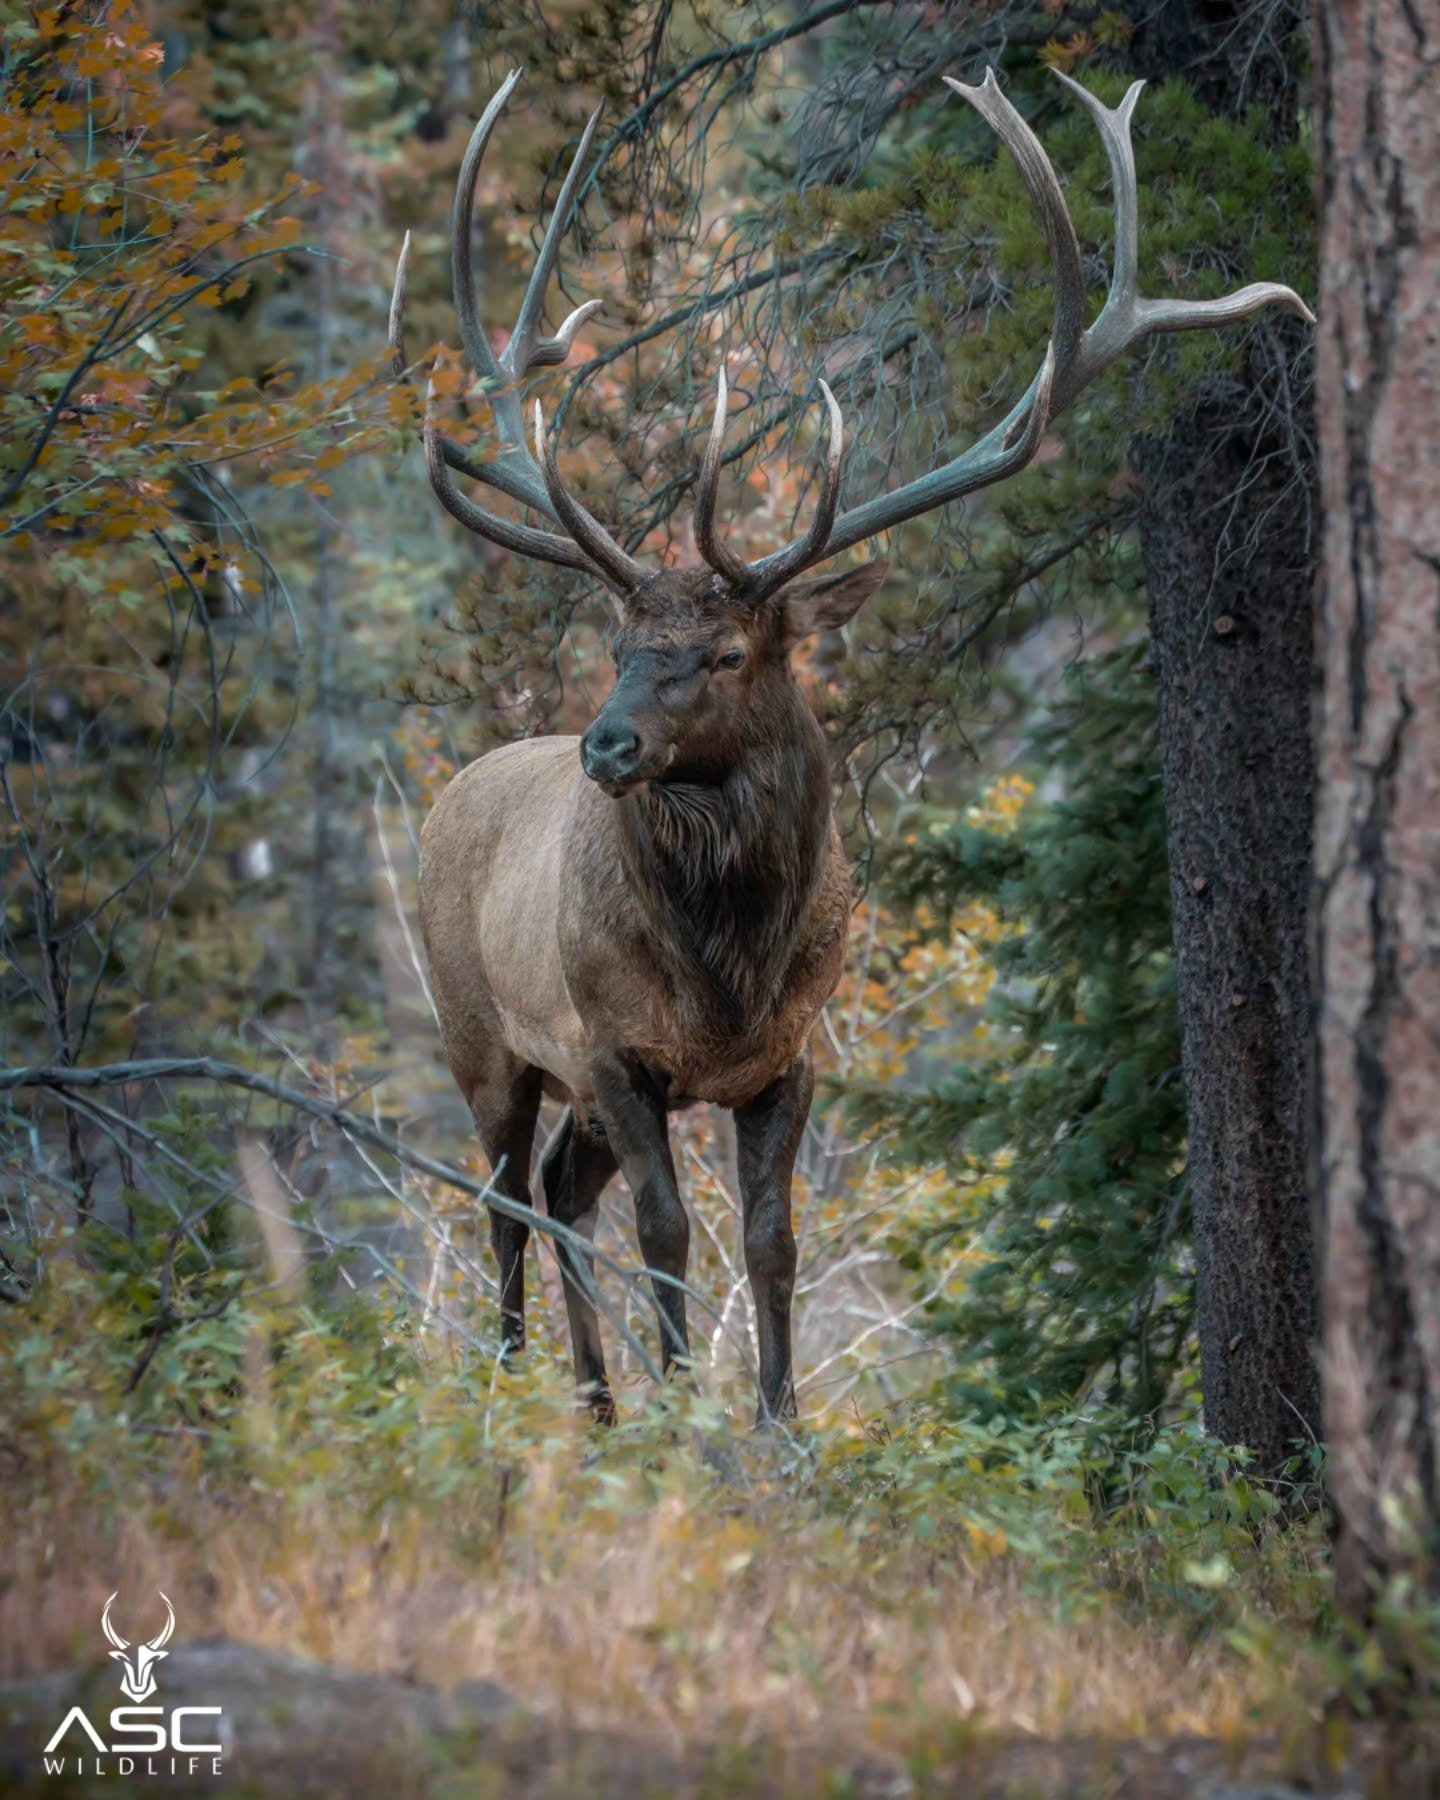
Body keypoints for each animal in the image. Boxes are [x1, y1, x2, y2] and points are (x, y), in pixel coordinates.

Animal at [389, 64, 1311, 1425]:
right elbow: (670, 1233)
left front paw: (780, 1428)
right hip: (481, 1037)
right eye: (619, 641)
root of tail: (455, 789)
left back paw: (595, 1407)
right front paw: (693, 1417)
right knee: (508, 1200)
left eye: (726, 654)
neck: (727, 973)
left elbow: (771, 1242)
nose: (607, 748)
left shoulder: (790, 1055)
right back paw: (517, 1391)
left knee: (557, 1192)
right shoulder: (615, 1047)